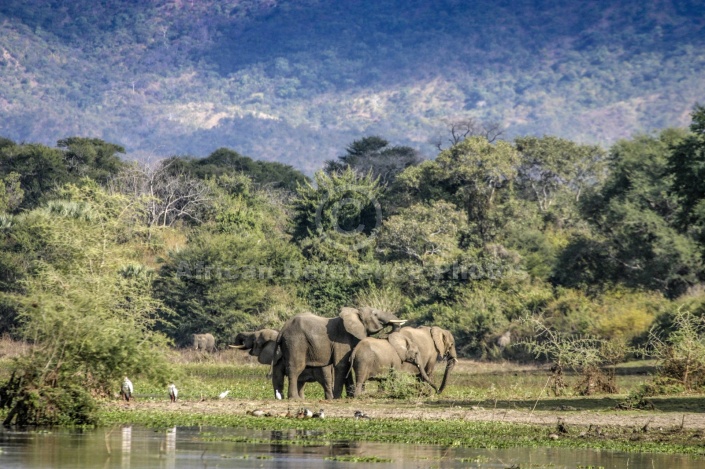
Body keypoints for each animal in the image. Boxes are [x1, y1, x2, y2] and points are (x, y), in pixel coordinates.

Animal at [276, 308, 408, 398]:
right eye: (375, 314)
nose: (385, 334)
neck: (355, 313)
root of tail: (282, 330)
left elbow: (347, 366)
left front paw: (349, 396)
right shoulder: (342, 339)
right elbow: (342, 365)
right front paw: (337, 398)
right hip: (295, 342)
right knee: (296, 368)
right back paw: (295, 398)